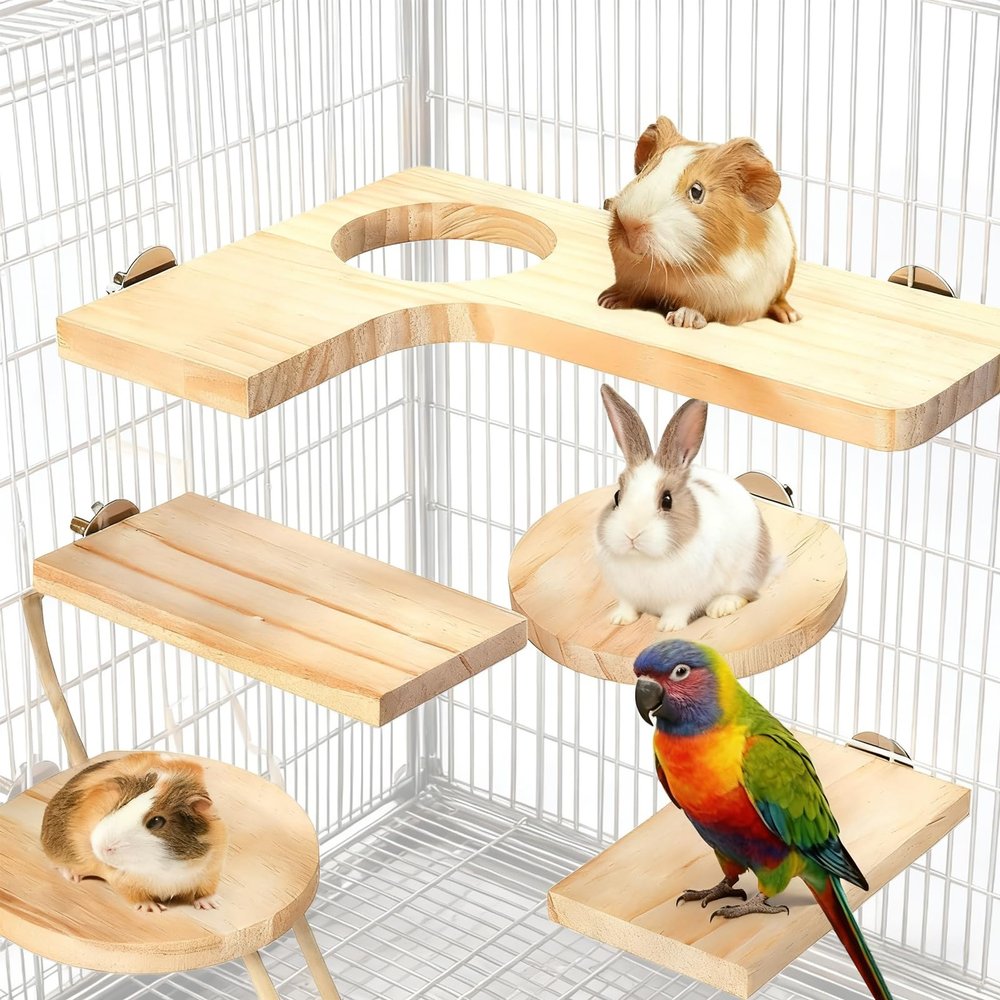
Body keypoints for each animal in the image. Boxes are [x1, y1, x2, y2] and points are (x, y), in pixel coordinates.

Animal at [41, 752, 227, 913]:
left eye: (156, 821)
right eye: (119, 805)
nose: (102, 848)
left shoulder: (211, 871)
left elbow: (205, 891)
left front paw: (212, 904)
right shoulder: (123, 881)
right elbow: (137, 897)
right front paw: (152, 908)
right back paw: (73, 877)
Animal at [599, 116, 801, 328]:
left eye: (696, 191)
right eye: (645, 171)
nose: (629, 224)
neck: (671, 269)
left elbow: (698, 308)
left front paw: (682, 320)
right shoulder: (632, 279)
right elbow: (629, 291)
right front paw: (606, 300)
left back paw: (790, 317)